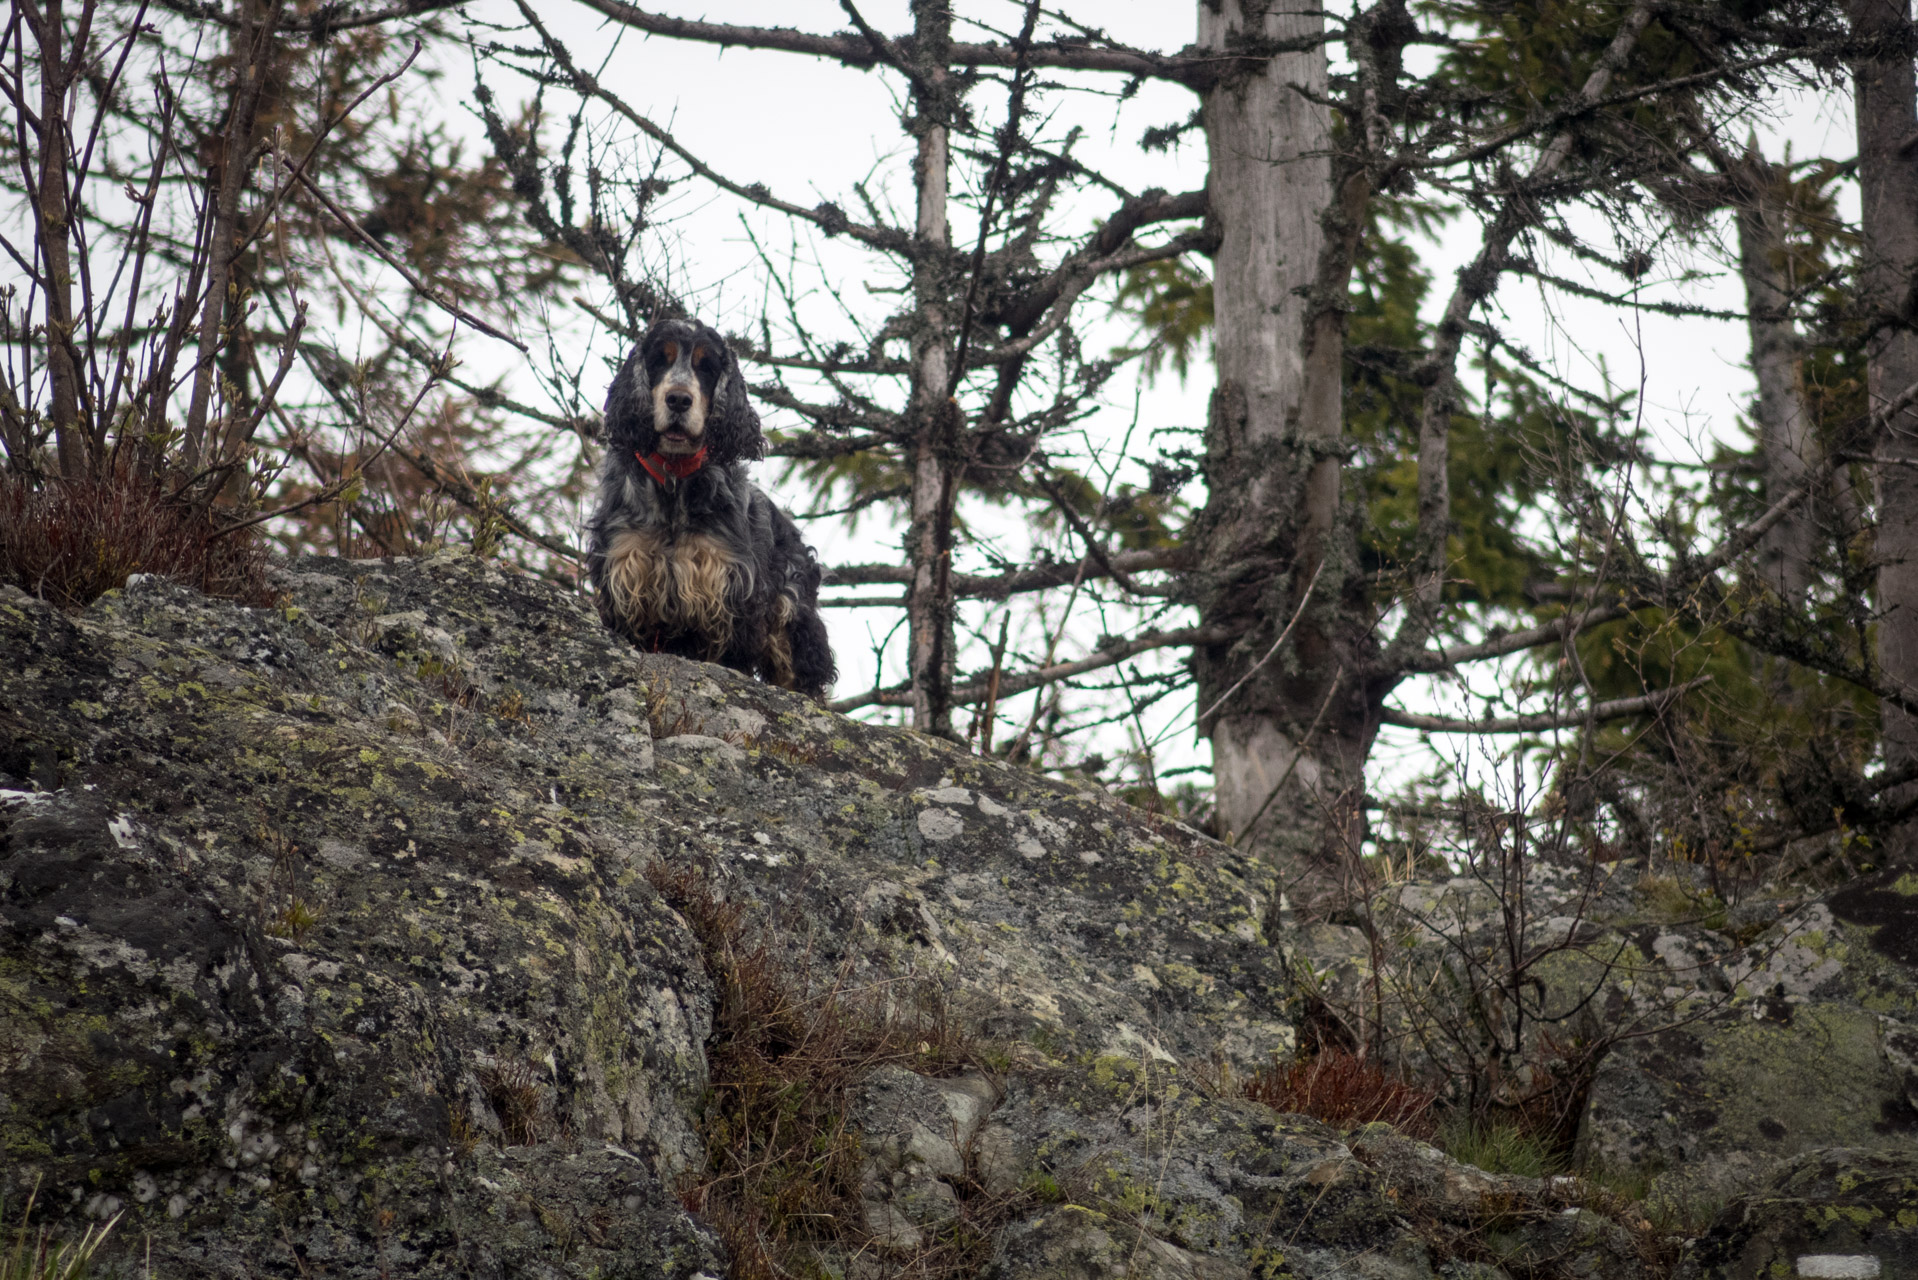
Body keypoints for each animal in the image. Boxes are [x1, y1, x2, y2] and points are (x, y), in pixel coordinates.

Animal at [586, 318, 836, 702]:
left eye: (706, 366)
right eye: (659, 360)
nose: (678, 399)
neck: (674, 481)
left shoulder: (729, 598)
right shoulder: (625, 577)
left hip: (792, 621)